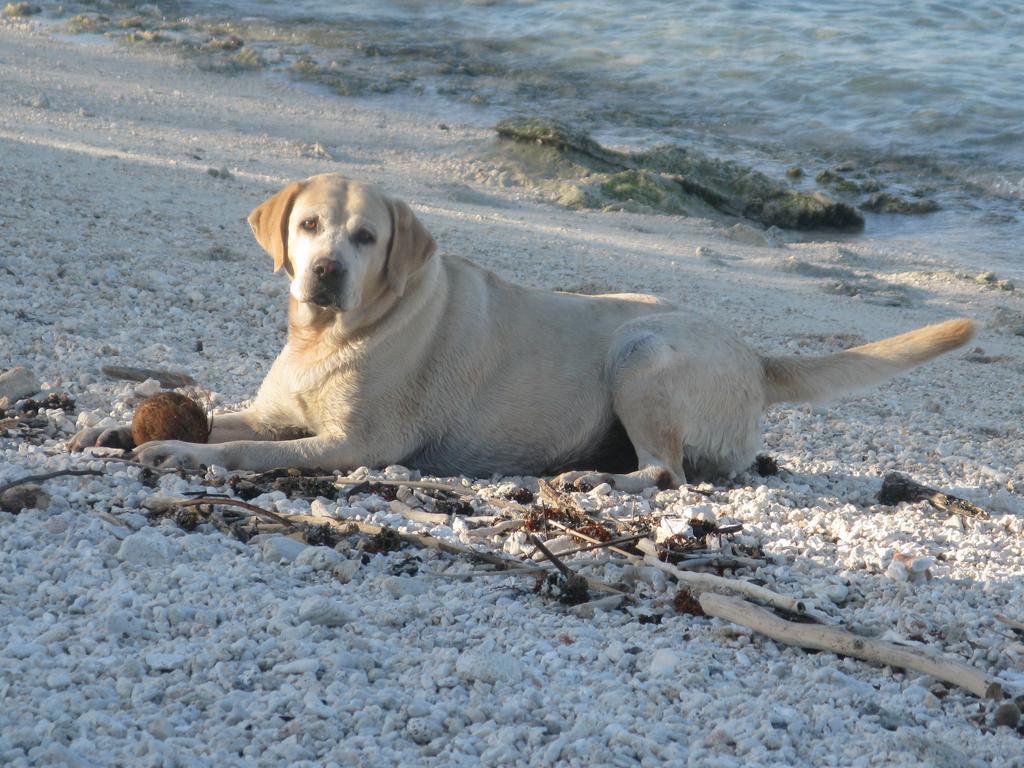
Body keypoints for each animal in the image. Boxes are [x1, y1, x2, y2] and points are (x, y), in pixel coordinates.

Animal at [70, 175, 974, 493]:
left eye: (366, 238)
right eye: (310, 226)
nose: (323, 272)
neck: (329, 337)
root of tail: (753, 353)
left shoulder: (352, 443)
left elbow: (243, 450)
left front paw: (175, 449)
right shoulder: (277, 412)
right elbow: (225, 418)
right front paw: (115, 426)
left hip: (644, 354)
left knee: (669, 473)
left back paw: (597, 481)